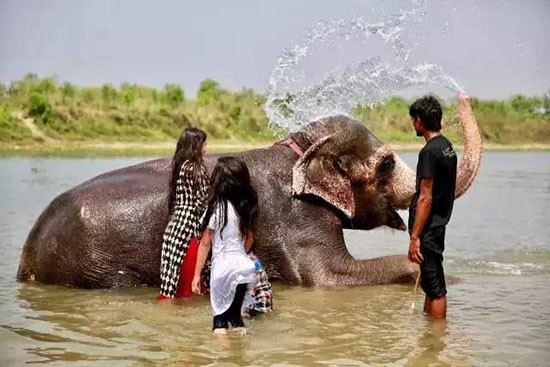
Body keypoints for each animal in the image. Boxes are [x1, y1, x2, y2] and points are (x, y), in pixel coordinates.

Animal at [17, 110, 484, 288]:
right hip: (99, 267)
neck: (300, 148)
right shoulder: (298, 218)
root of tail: (27, 255)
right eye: (386, 165)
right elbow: (327, 279)